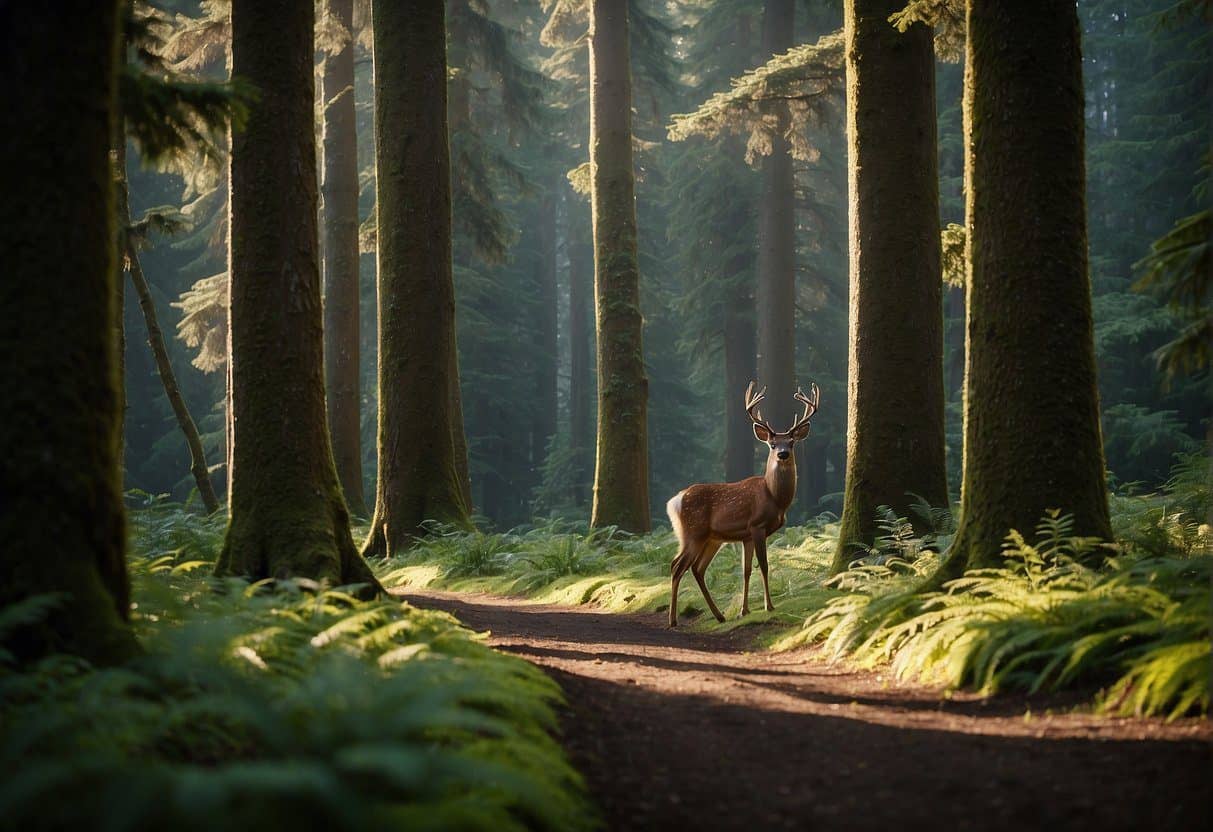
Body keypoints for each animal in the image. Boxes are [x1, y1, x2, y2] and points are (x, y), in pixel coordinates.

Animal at [665, 381, 820, 628]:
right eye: (772, 444)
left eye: (792, 442)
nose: (783, 454)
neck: (775, 498)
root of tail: (675, 501)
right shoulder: (757, 525)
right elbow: (764, 566)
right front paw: (769, 606)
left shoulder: (746, 535)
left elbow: (746, 570)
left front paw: (744, 610)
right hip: (692, 532)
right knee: (677, 565)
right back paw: (672, 619)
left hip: (712, 539)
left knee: (697, 568)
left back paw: (719, 615)